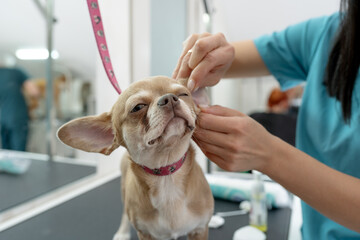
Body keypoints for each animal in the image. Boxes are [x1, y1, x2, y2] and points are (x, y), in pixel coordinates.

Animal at [56, 76, 214, 240]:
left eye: (183, 94)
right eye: (138, 107)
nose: (169, 98)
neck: (167, 176)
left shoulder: (199, 230)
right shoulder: (146, 234)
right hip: (124, 191)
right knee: (125, 214)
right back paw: (122, 232)